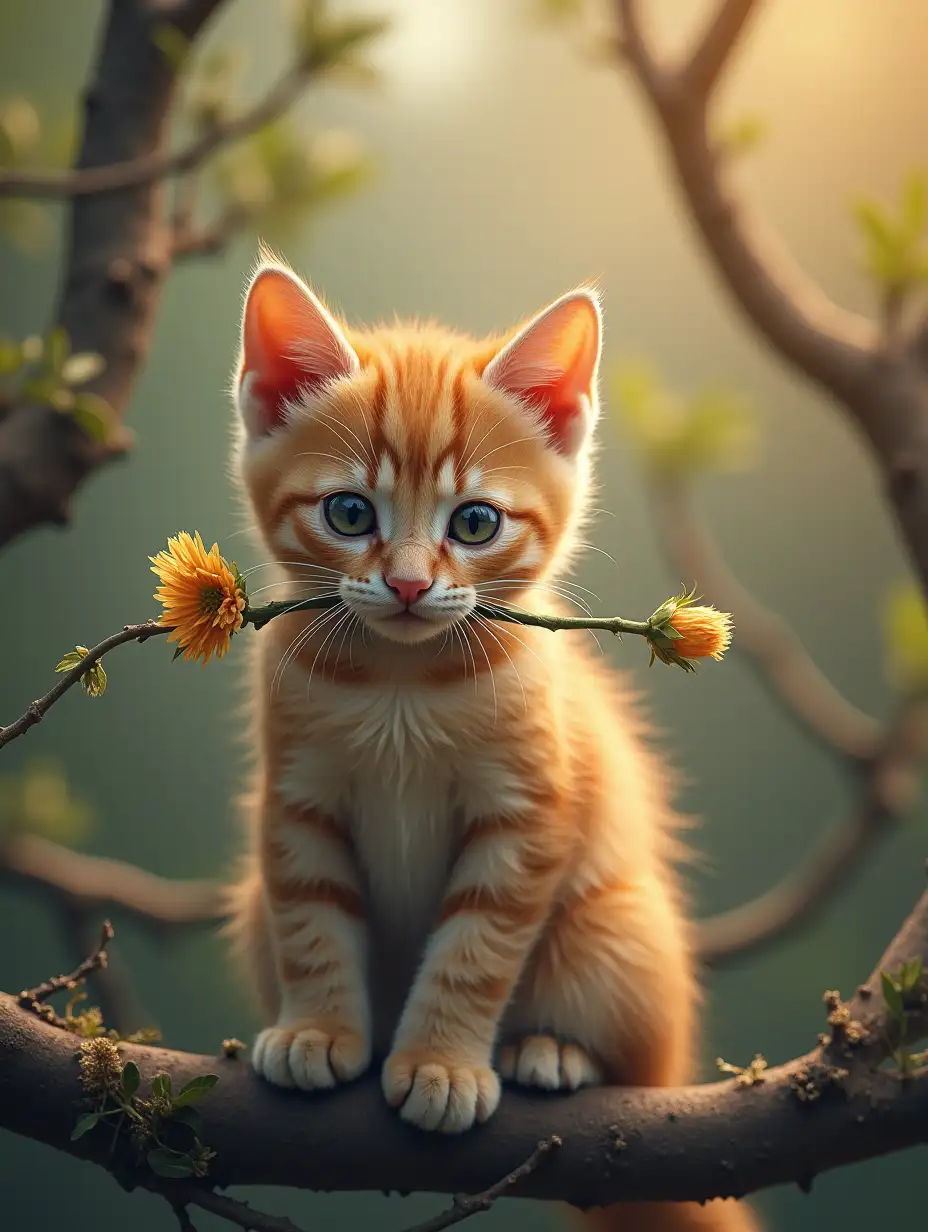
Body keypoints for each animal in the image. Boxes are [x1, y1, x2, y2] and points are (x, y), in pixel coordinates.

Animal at [227, 252, 754, 1232]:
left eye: (474, 523)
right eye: (349, 513)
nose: (404, 585)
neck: (400, 682)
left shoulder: (528, 811)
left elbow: (477, 947)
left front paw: (441, 1063)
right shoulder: (297, 799)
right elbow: (310, 914)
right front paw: (320, 1027)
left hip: (619, 927)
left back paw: (552, 1051)